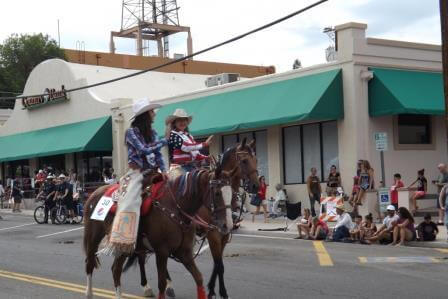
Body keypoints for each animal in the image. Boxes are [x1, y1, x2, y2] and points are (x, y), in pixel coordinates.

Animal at [82, 166, 234, 299]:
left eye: (232, 194)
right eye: (217, 193)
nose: (228, 225)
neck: (176, 208)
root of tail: (95, 192)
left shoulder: (184, 252)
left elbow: (199, 278)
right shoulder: (162, 252)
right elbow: (162, 284)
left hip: (123, 246)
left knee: (116, 269)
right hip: (94, 237)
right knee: (91, 264)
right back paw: (89, 294)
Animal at [124, 139, 260, 298]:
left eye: (256, 160)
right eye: (244, 161)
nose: (256, 186)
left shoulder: (224, 235)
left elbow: (218, 265)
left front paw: (213, 289)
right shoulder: (213, 234)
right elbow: (219, 265)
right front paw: (219, 292)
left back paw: (169, 285)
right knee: (141, 257)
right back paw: (146, 287)